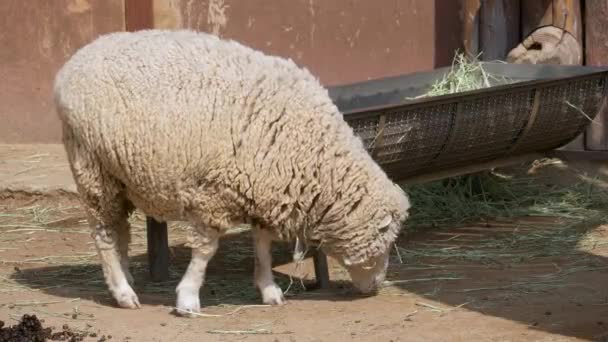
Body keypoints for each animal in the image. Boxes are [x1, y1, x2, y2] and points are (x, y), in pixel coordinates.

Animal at [53, 29, 414, 316]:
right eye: (386, 242)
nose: (377, 286)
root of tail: (70, 65)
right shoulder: (212, 195)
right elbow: (205, 251)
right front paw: (188, 298)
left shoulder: (264, 190)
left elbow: (263, 246)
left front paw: (269, 289)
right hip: (92, 167)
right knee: (104, 234)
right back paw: (123, 292)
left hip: (119, 177)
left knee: (120, 232)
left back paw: (125, 280)